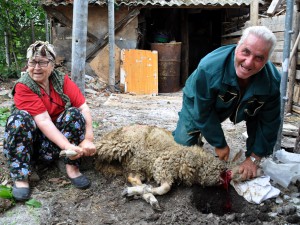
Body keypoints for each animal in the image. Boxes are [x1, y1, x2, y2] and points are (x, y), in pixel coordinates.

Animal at [92, 124, 243, 210]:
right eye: (229, 176)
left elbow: (162, 187)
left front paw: (141, 192)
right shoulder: (162, 163)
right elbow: (165, 188)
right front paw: (147, 190)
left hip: (135, 164)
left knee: (132, 177)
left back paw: (144, 196)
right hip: (119, 144)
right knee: (97, 147)